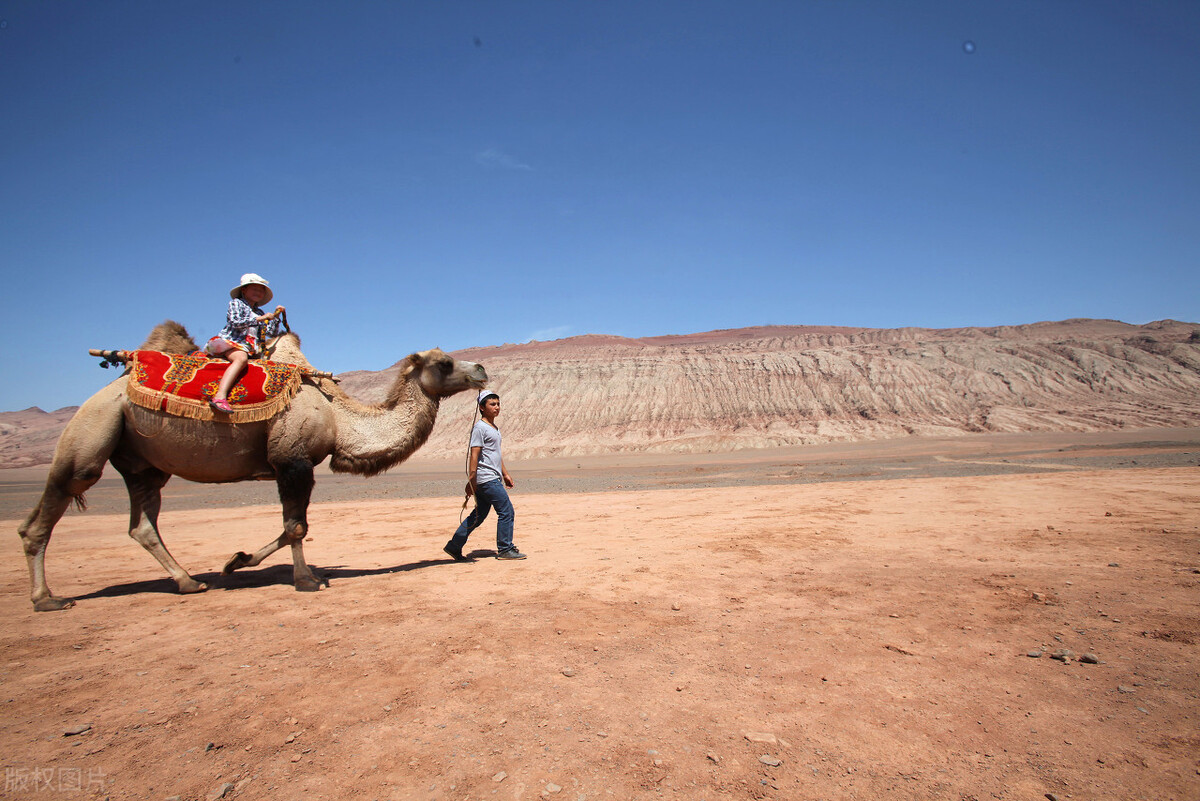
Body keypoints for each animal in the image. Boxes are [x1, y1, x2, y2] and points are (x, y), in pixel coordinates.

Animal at [16, 321, 484, 609]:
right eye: (444, 363)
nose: (480, 369)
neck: (339, 418)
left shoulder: (291, 464)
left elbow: (289, 526)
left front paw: (236, 561)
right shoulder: (292, 459)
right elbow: (296, 526)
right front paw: (306, 580)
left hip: (142, 462)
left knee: (142, 524)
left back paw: (189, 581)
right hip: (92, 430)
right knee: (49, 510)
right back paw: (47, 598)